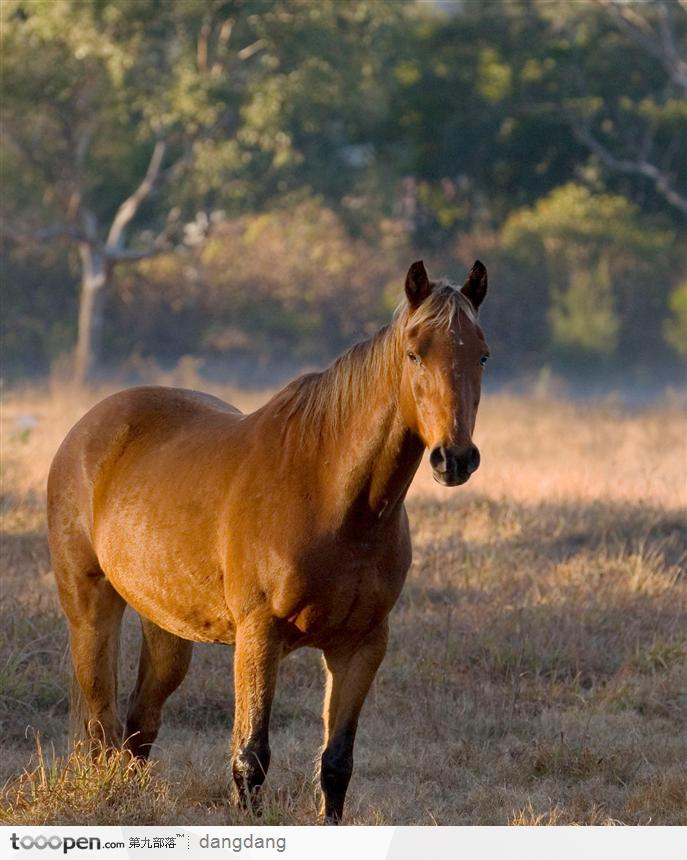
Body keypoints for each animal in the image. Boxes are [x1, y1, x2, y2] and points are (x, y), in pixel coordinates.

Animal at [47, 258, 490, 824]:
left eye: (482, 354)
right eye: (414, 352)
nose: (453, 459)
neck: (331, 497)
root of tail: (87, 428)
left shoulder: (361, 645)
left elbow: (336, 762)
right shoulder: (259, 636)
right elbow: (250, 757)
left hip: (165, 625)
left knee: (138, 725)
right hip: (91, 608)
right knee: (101, 724)